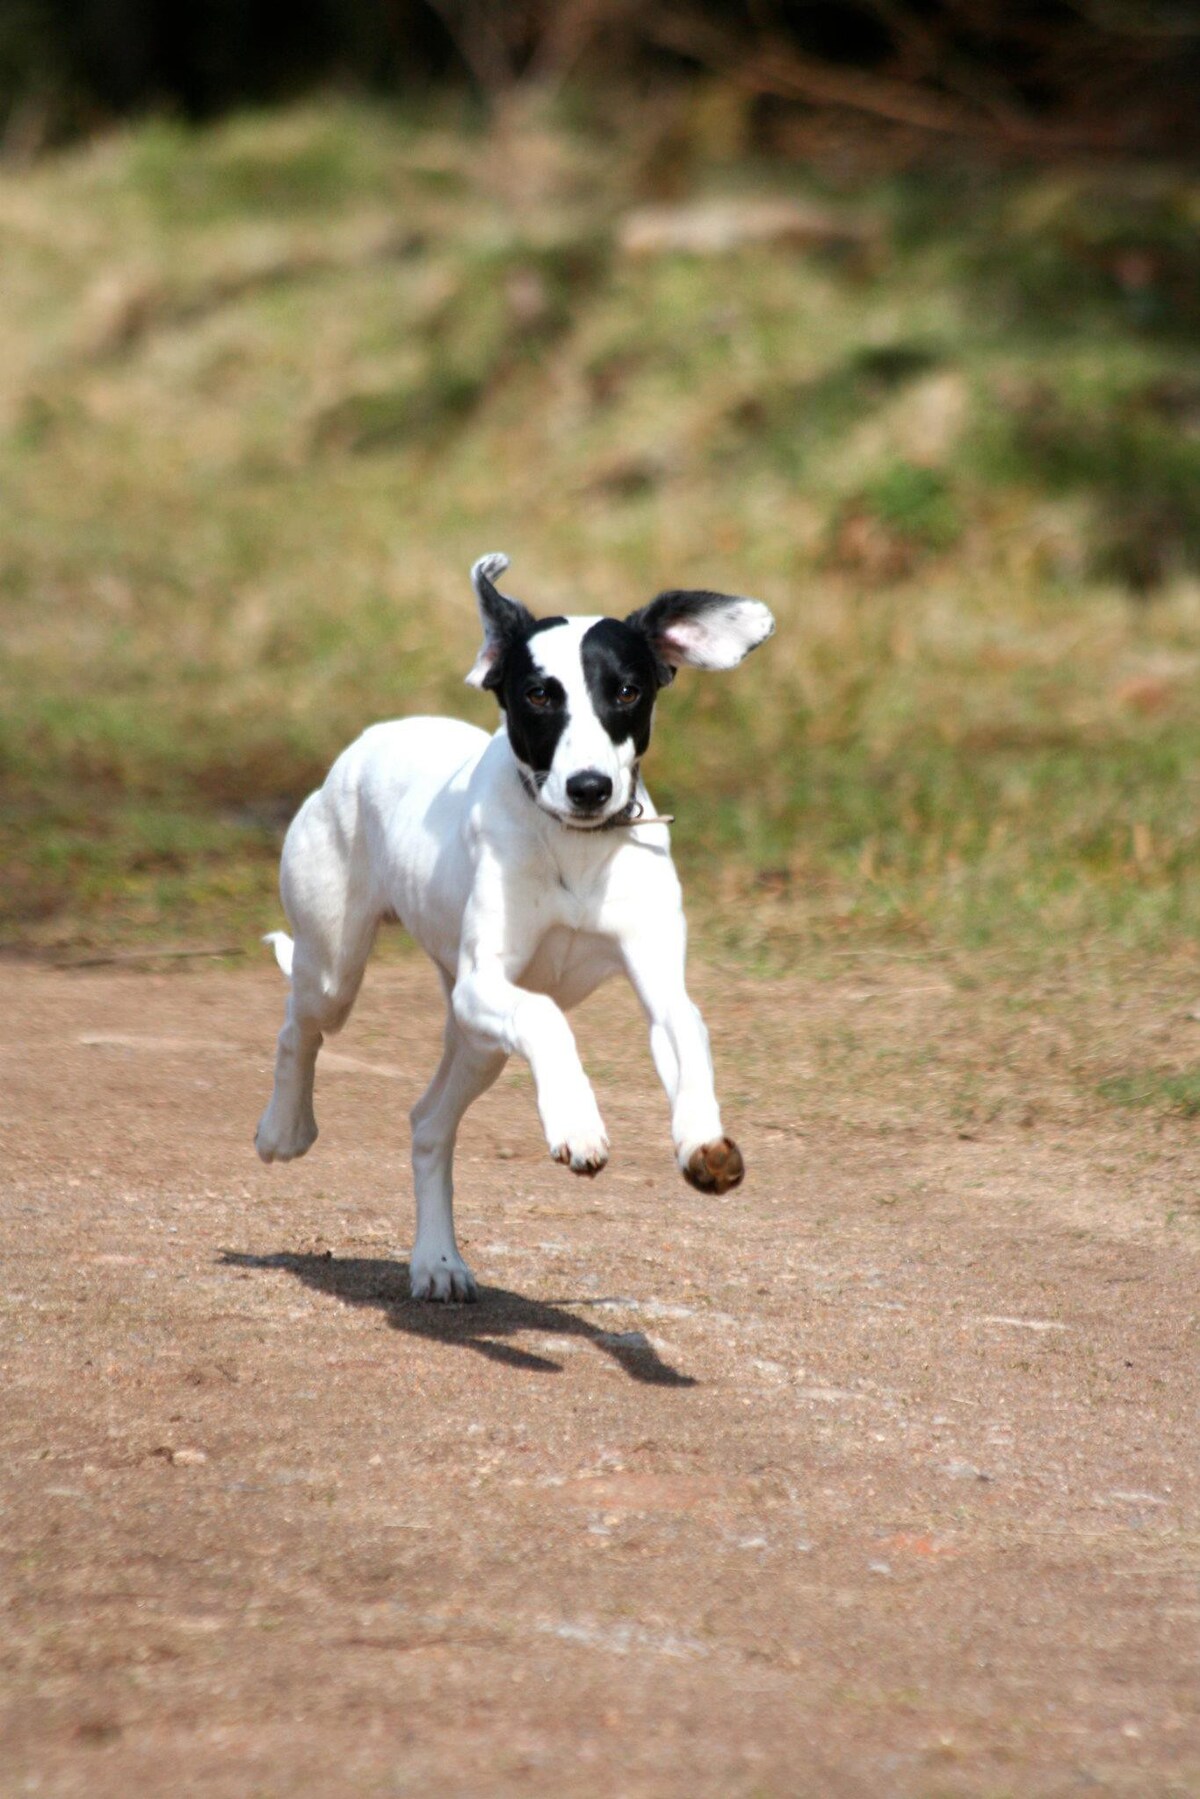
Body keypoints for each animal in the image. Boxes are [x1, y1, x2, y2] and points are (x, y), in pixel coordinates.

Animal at [257, 554, 773, 1302]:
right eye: (537, 695)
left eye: (627, 690)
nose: (589, 787)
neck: (576, 848)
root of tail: (363, 746)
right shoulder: (485, 983)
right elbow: (547, 1017)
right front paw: (578, 1124)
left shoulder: (656, 983)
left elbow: (688, 1033)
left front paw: (701, 1142)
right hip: (338, 965)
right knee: (301, 1024)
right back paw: (284, 1128)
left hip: (478, 1044)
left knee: (428, 1124)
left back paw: (437, 1260)